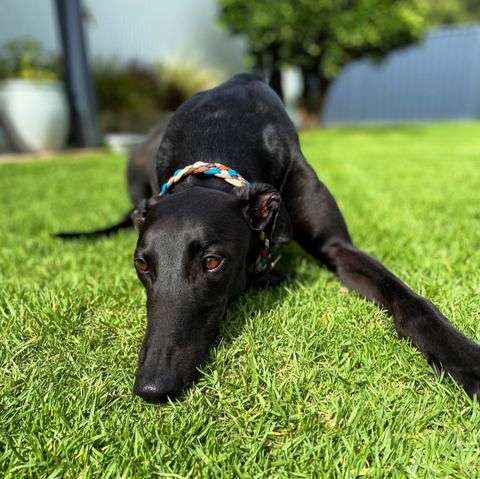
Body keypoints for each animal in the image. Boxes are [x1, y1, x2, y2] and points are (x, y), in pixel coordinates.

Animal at [59, 74, 480, 402]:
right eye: (142, 265)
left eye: (212, 261)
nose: (151, 387)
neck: (218, 132)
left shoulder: (337, 247)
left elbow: (411, 301)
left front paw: (464, 358)